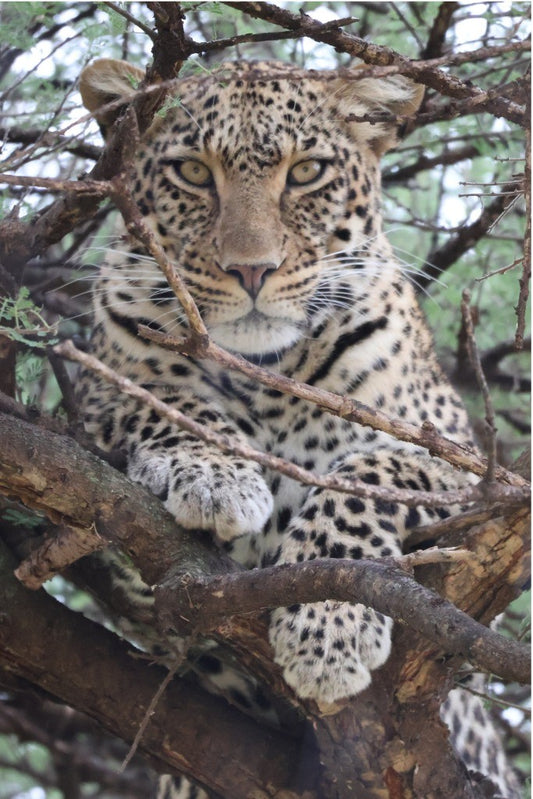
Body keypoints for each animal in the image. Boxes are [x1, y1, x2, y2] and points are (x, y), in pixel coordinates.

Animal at [78, 59, 521, 799]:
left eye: (307, 171)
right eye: (192, 172)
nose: (251, 268)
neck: (265, 373)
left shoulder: (468, 467)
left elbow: (364, 476)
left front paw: (327, 627)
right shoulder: (93, 399)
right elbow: (155, 399)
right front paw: (218, 476)